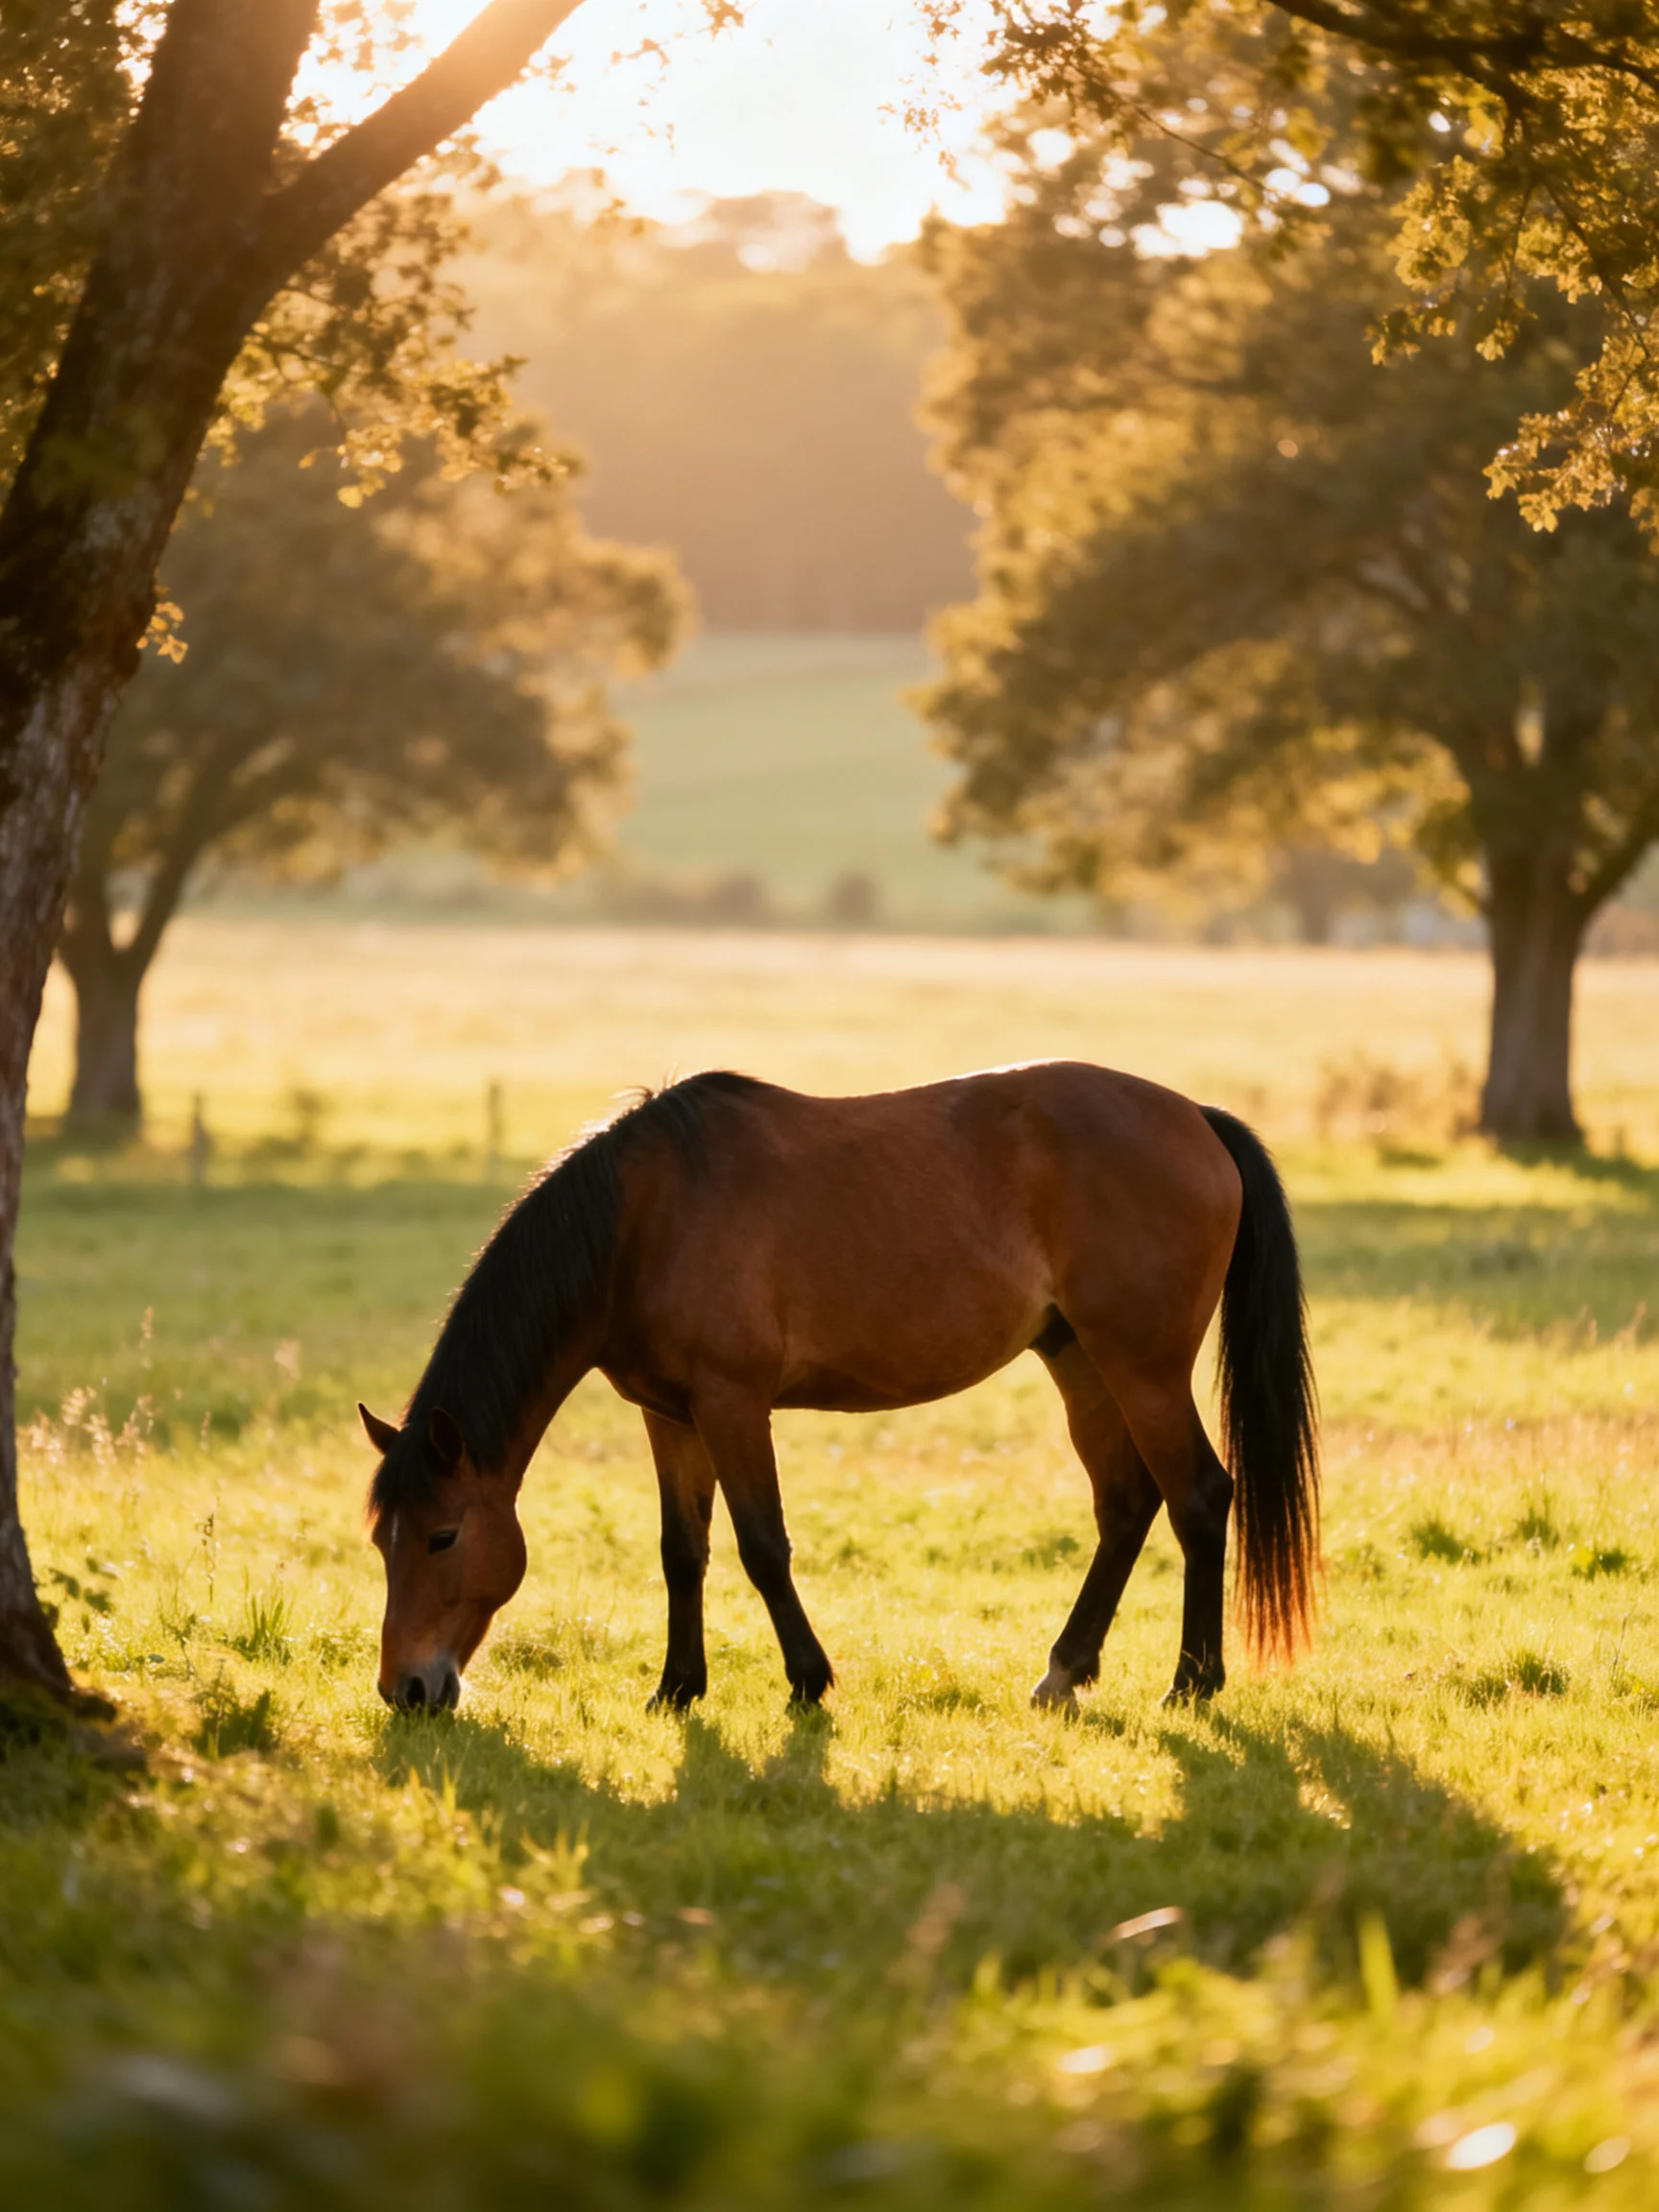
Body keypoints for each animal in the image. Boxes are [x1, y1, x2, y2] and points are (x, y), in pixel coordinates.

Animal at [360, 1062, 1319, 1716]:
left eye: (443, 1536)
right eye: (382, 1541)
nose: (407, 1690)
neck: (642, 1221)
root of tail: (1196, 1117)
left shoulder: (733, 1404)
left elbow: (761, 1546)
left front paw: (808, 1682)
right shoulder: (670, 1416)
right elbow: (682, 1552)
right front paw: (678, 1688)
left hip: (1142, 1367)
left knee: (1199, 1497)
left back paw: (1192, 1683)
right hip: (1079, 1359)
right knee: (1125, 1506)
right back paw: (1064, 1671)